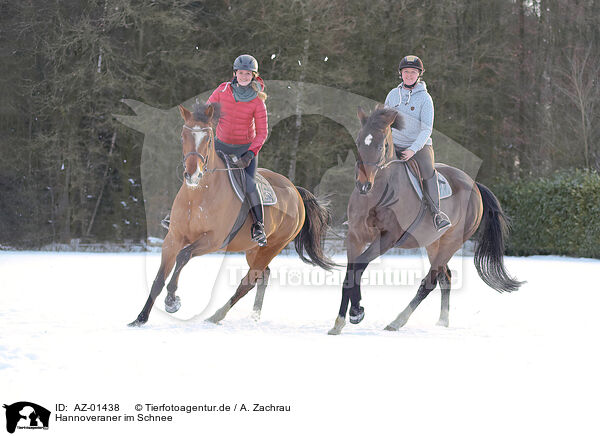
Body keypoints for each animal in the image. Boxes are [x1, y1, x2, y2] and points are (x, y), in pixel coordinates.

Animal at [129, 102, 336, 326]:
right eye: (183, 136)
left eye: (208, 139)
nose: (192, 174)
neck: (198, 196)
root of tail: (296, 192)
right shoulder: (173, 238)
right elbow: (159, 278)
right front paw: (140, 318)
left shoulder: (213, 241)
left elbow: (183, 256)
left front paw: (171, 300)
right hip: (253, 249)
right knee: (263, 275)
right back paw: (254, 315)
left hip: (272, 246)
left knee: (249, 280)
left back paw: (216, 316)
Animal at [328, 107, 520, 336]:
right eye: (358, 142)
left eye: (381, 146)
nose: (363, 185)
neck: (377, 193)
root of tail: (474, 185)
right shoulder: (355, 236)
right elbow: (351, 271)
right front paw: (340, 321)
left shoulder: (388, 237)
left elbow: (359, 265)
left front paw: (356, 312)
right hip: (433, 243)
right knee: (445, 278)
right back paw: (442, 322)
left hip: (451, 243)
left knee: (430, 281)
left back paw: (397, 322)